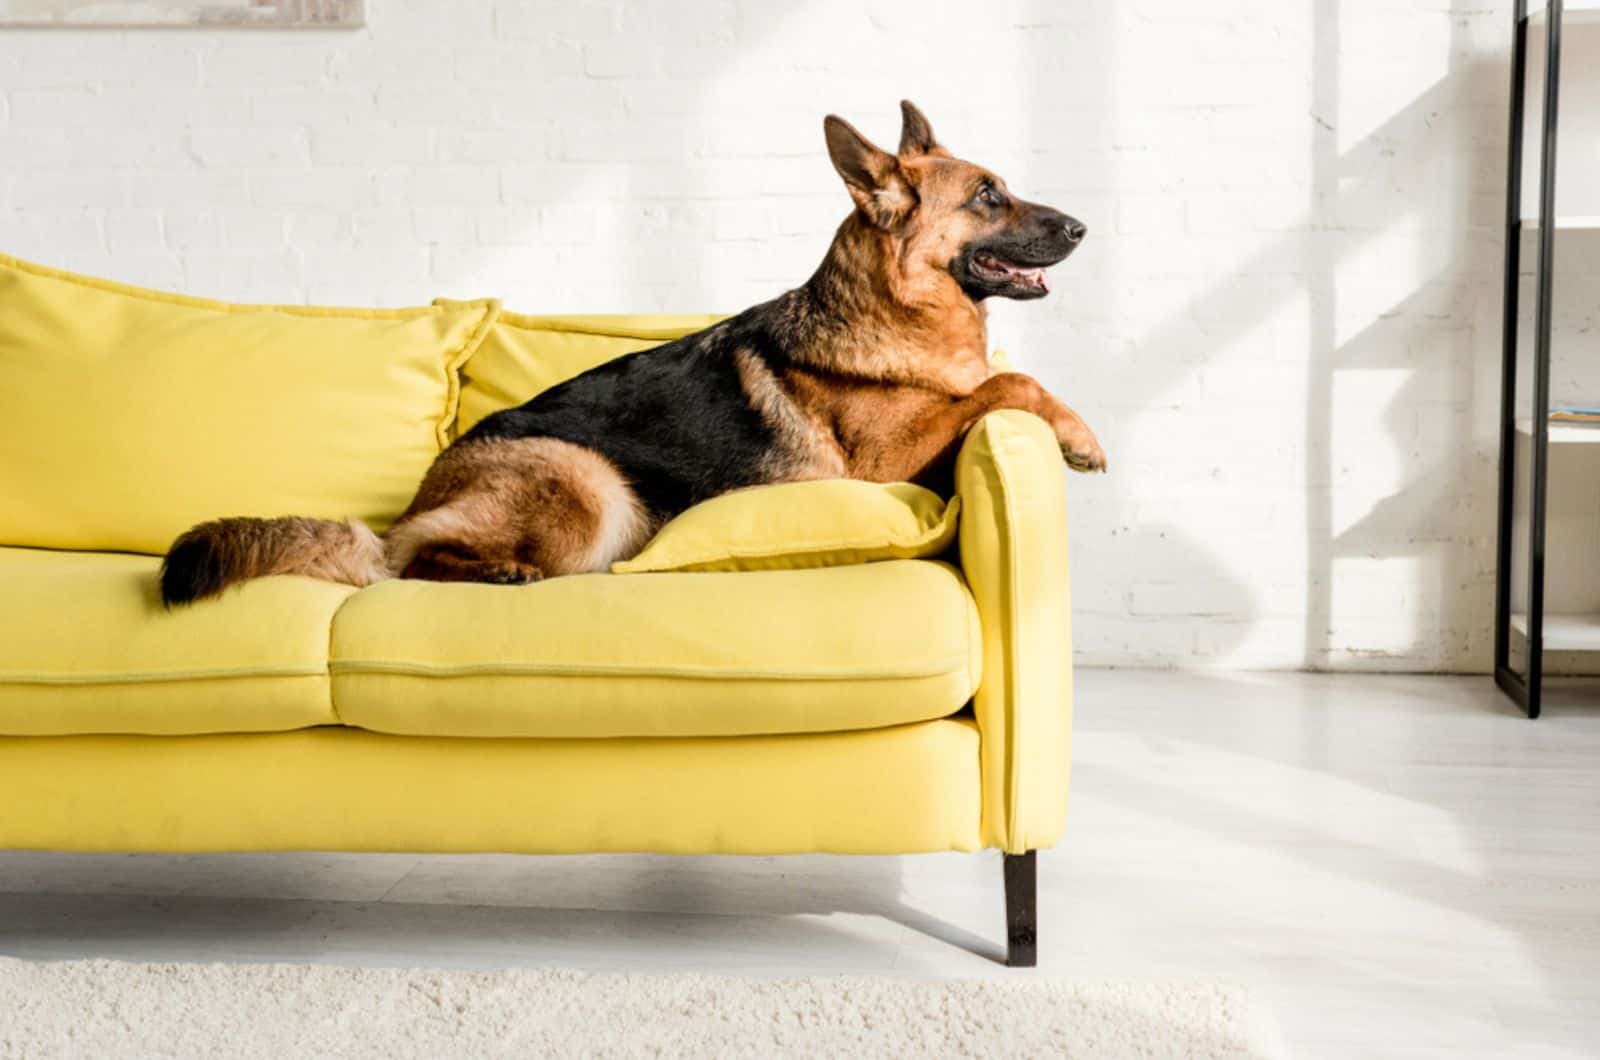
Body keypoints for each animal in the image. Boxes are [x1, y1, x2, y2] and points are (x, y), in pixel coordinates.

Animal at [165, 104, 1113, 611]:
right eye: (987, 196)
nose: (1081, 227)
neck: (896, 318)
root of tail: (417, 496)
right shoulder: (884, 465)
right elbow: (1011, 378)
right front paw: (1082, 436)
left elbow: (997, 381)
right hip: (587, 484)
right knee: (402, 567)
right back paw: (492, 569)